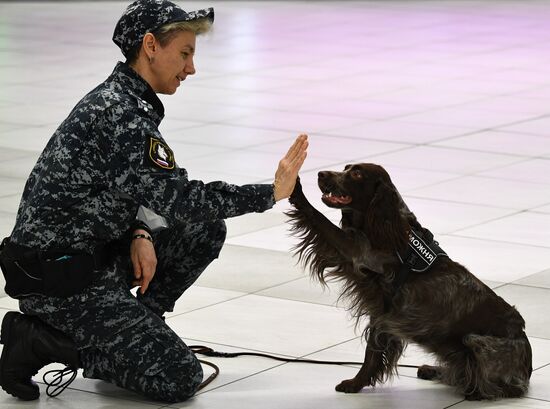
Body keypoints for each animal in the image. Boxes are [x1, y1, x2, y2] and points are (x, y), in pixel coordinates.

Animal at [288, 163, 536, 398]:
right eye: (346, 168)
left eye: (357, 173)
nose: (321, 174)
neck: (388, 227)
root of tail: (528, 364)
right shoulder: (381, 312)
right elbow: (372, 353)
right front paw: (356, 383)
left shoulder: (359, 254)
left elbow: (318, 217)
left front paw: (297, 191)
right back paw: (433, 370)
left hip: (477, 341)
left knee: (500, 384)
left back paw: (476, 391)